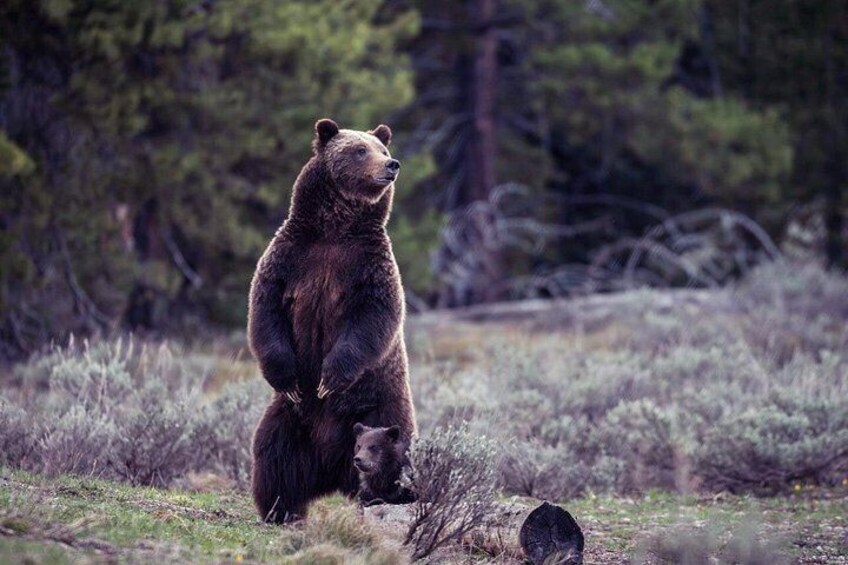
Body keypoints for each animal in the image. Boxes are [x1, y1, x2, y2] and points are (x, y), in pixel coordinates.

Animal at [248, 118, 417, 523]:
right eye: (359, 150)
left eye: (382, 149)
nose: (392, 165)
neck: (334, 229)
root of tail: (331, 470)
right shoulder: (290, 258)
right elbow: (266, 311)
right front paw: (290, 378)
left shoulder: (368, 266)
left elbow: (373, 318)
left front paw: (330, 379)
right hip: (291, 421)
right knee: (274, 456)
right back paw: (280, 509)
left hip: (380, 410)